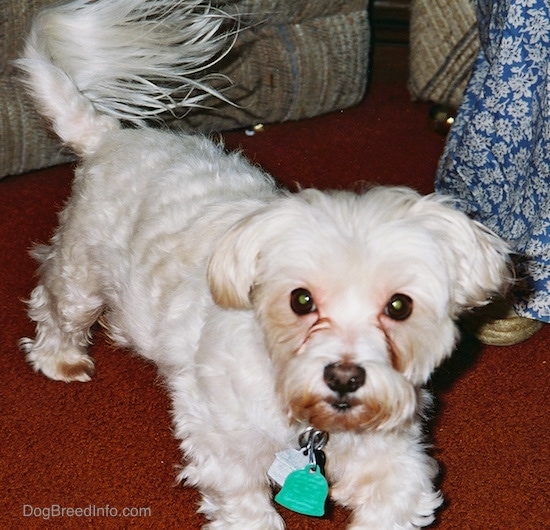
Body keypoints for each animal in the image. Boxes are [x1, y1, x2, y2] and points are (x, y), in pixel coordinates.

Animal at [18, 2, 512, 524]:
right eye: (301, 300)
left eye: (400, 306)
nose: (344, 377)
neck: (308, 417)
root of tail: (108, 136)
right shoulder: (222, 440)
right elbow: (246, 505)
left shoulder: (393, 461)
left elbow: (391, 503)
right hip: (81, 272)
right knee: (56, 307)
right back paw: (61, 358)